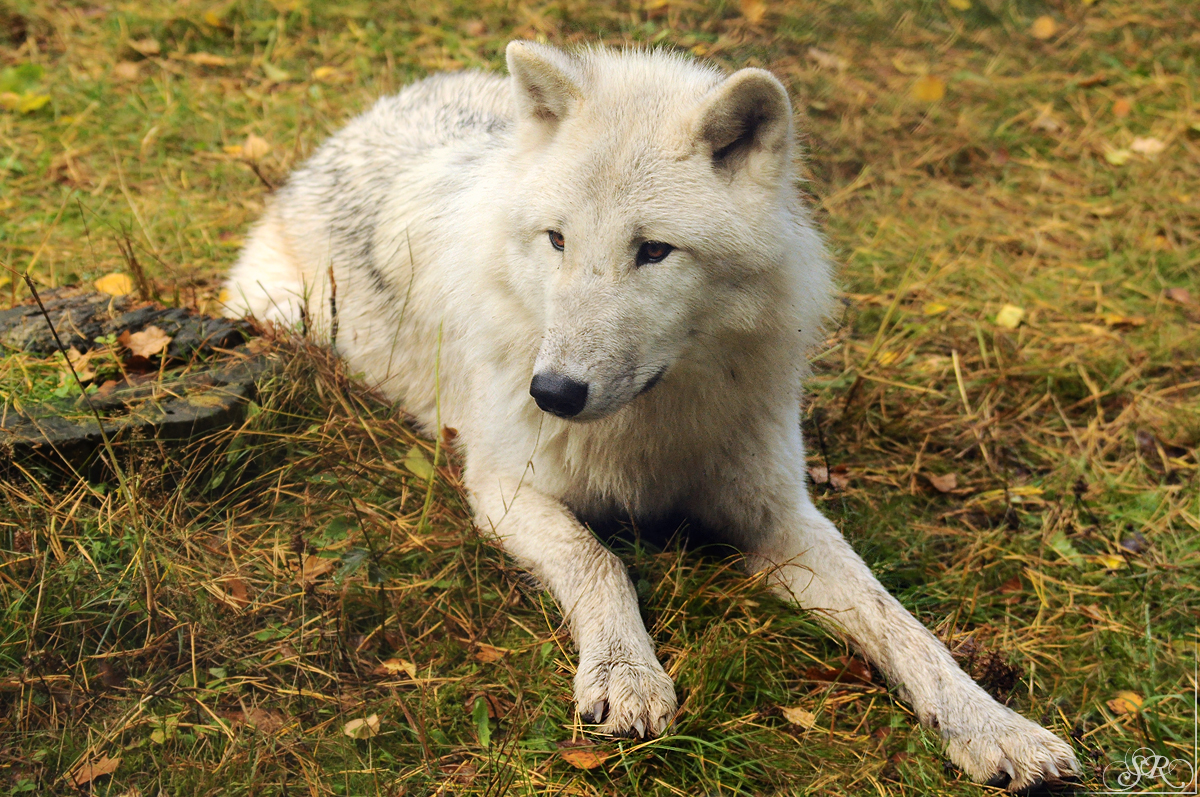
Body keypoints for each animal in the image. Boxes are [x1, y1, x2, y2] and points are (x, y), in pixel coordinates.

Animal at [223, 41, 1080, 789]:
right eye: (557, 240)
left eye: (654, 251)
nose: (553, 393)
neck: (650, 427)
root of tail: (371, 114)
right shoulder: (502, 487)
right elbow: (598, 560)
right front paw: (627, 675)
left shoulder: (778, 519)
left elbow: (903, 624)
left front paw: (996, 726)